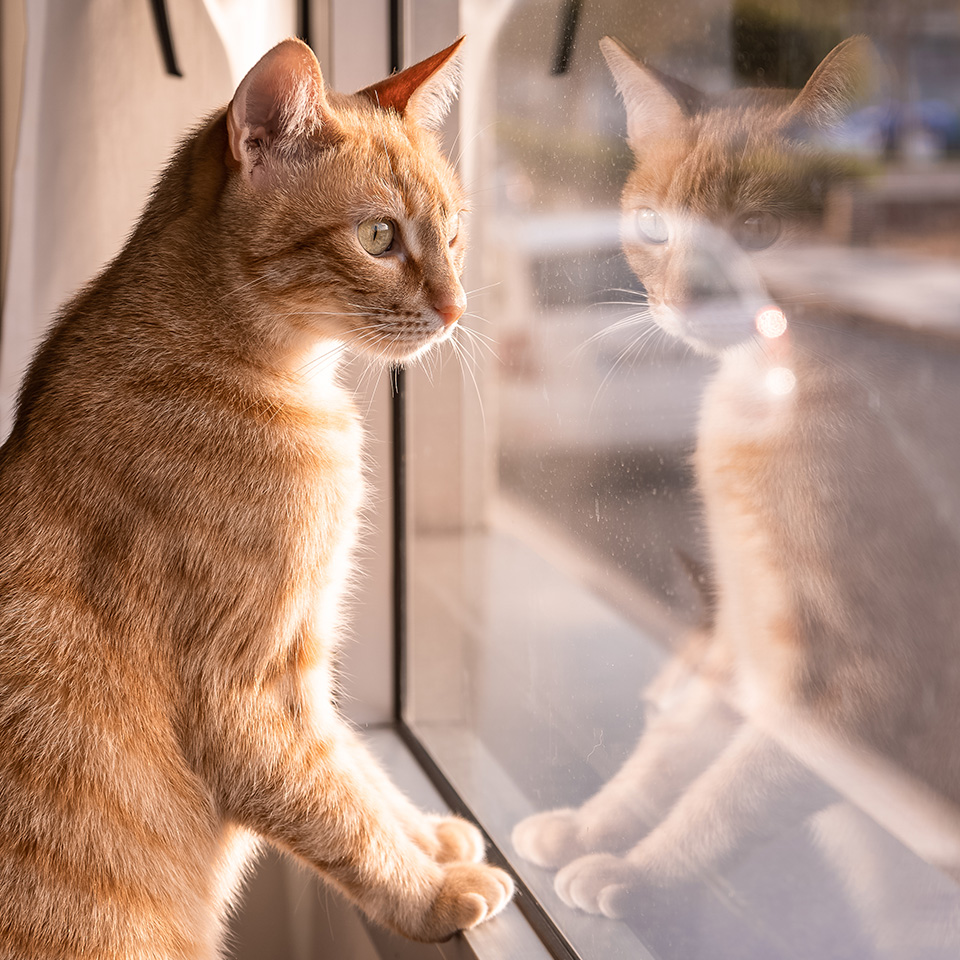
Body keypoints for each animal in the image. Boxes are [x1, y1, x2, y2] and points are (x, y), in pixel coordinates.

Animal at [0, 35, 516, 952]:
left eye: (455, 235)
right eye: (379, 236)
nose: (456, 309)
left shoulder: (307, 676)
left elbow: (356, 767)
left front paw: (427, 834)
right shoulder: (249, 694)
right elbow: (341, 813)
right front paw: (430, 890)